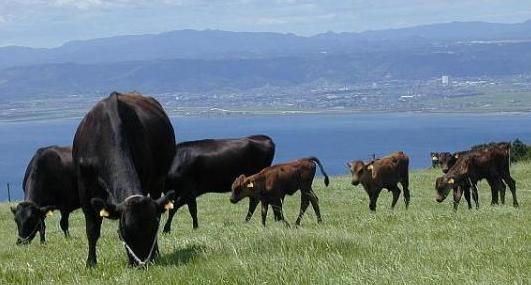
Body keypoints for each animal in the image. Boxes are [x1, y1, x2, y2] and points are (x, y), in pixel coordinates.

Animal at [72, 91, 176, 266]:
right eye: (123, 231)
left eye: (153, 228)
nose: (142, 264)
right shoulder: (83, 187)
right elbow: (92, 228)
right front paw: (90, 263)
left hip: (158, 182)